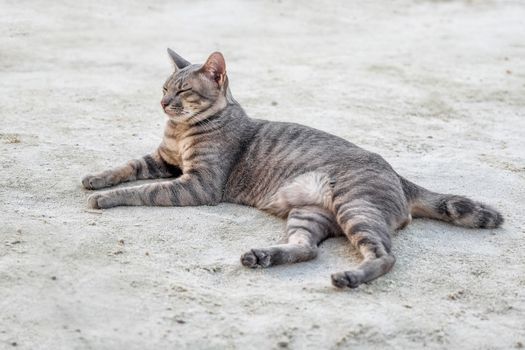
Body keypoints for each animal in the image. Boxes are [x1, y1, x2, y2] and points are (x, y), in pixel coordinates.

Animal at [83, 49, 504, 288]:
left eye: (183, 91)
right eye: (164, 86)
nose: (162, 102)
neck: (181, 130)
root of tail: (400, 176)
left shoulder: (197, 184)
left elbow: (142, 190)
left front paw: (106, 199)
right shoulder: (163, 160)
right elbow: (126, 167)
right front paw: (96, 178)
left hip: (356, 207)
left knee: (384, 256)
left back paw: (349, 277)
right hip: (310, 213)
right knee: (307, 249)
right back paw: (263, 256)